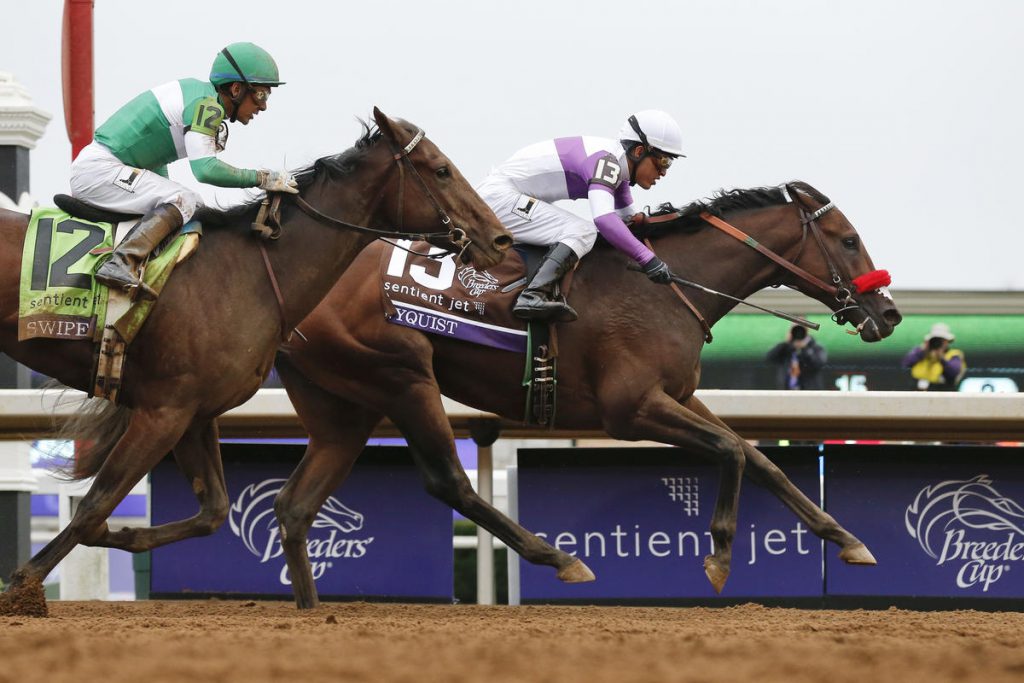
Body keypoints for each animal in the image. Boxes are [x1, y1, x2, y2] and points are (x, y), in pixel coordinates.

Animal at [0, 108, 512, 614]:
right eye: (441, 170)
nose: (501, 240)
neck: (252, 273)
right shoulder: (161, 411)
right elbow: (93, 508)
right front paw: (22, 588)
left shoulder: (191, 412)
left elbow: (210, 511)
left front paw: (122, 535)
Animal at [274, 180, 905, 610]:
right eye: (849, 240)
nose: (890, 315)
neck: (668, 285)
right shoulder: (631, 408)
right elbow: (729, 452)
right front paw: (721, 558)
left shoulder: (679, 396)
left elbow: (756, 458)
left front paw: (847, 539)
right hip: (401, 376)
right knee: (448, 483)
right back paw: (559, 558)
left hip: (343, 407)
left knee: (294, 505)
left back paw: (309, 609)